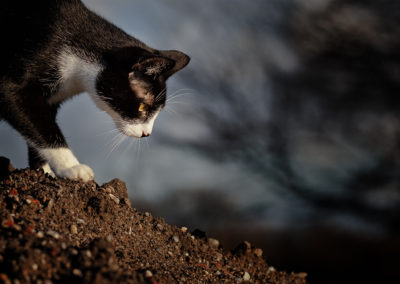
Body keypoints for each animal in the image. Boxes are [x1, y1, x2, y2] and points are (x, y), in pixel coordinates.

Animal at [0, 0, 190, 181]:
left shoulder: (51, 100)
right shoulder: (19, 78)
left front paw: (45, 172)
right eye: (143, 107)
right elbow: (42, 126)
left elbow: (38, 128)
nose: (146, 134)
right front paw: (71, 167)